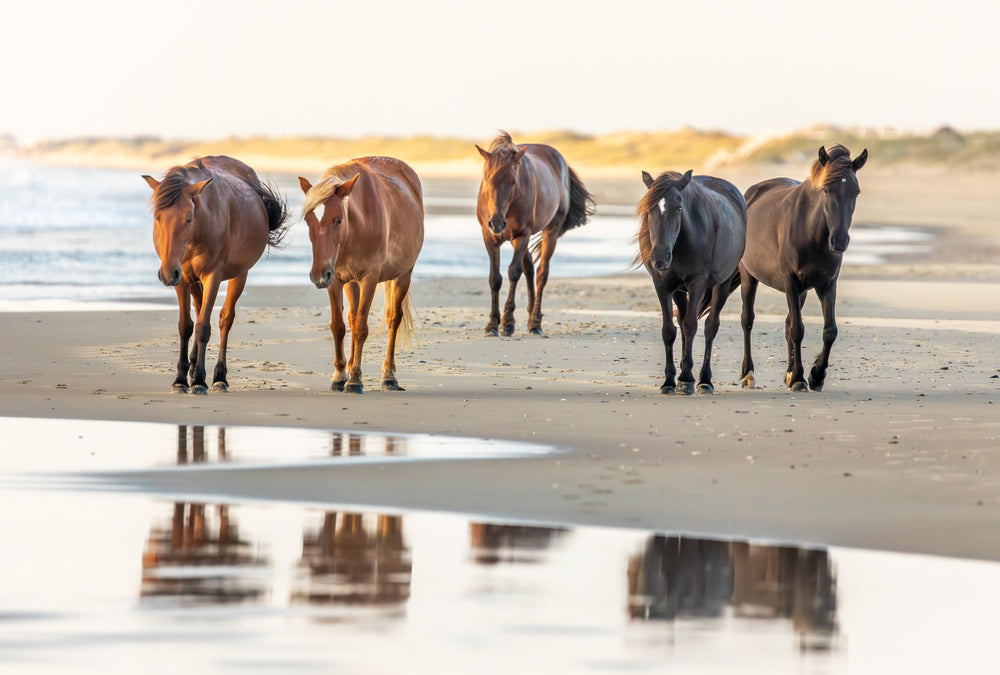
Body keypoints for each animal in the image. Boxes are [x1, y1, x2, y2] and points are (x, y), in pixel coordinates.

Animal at [142, 155, 289, 395]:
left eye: (189, 217)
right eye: (158, 217)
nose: (167, 274)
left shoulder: (212, 275)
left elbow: (203, 327)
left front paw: (199, 381)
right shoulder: (182, 279)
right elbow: (186, 326)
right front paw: (181, 379)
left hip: (239, 275)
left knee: (224, 320)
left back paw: (219, 377)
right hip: (191, 280)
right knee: (200, 309)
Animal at [298, 156, 424, 394]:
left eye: (338, 220)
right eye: (308, 221)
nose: (318, 276)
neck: (357, 227)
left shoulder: (369, 279)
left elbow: (361, 328)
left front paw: (355, 379)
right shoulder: (336, 280)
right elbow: (339, 326)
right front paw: (340, 375)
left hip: (403, 275)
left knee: (393, 319)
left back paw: (389, 376)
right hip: (351, 283)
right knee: (352, 316)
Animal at [476, 131, 595, 336]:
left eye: (512, 181)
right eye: (487, 179)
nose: (497, 223)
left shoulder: (522, 235)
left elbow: (514, 272)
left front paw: (508, 322)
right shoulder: (489, 237)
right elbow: (495, 278)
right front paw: (492, 324)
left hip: (549, 232)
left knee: (541, 273)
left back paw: (535, 322)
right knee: (529, 267)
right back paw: (530, 312)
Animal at [635, 170, 747, 394]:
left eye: (678, 208)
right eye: (649, 210)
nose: (660, 258)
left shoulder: (698, 283)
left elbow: (691, 325)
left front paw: (686, 378)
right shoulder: (662, 285)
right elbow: (669, 330)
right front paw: (669, 381)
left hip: (722, 284)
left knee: (710, 326)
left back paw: (704, 380)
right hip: (679, 290)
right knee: (682, 320)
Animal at [736, 144, 868, 391]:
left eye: (856, 192)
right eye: (826, 190)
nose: (839, 241)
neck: (811, 231)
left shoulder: (827, 284)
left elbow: (829, 330)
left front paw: (816, 375)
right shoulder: (791, 282)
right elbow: (798, 330)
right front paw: (799, 377)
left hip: (803, 291)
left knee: (788, 324)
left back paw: (788, 374)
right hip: (749, 278)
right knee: (747, 320)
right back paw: (748, 374)